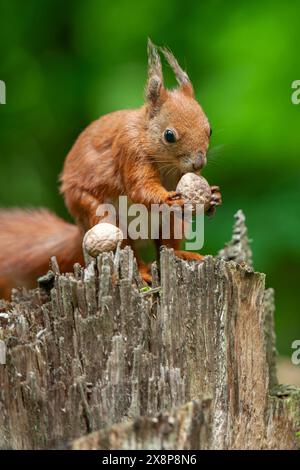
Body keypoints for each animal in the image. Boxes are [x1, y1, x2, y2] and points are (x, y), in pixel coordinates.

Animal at [0, 39, 220, 298]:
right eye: (169, 135)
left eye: (210, 130)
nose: (199, 163)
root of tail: (80, 229)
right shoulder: (130, 151)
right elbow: (140, 189)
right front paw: (167, 198)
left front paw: (213, 196)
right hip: (103, 217)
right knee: (127, 250)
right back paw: (144, 272)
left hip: (170, 223)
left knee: (166, 244)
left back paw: (183, 254)